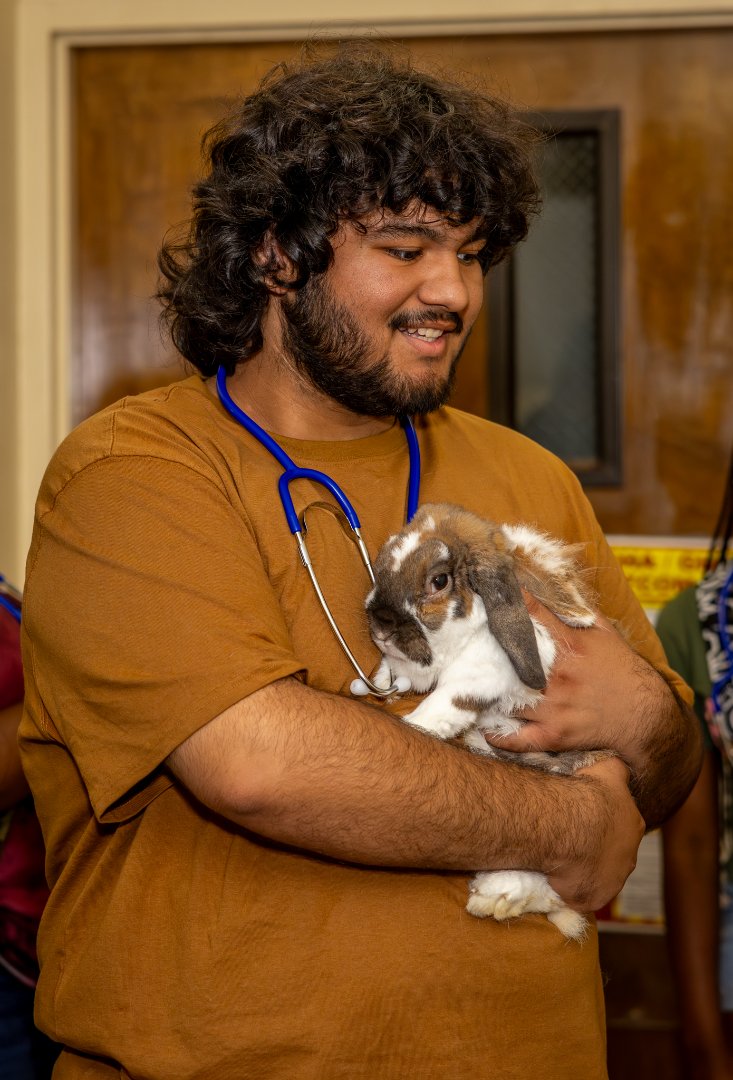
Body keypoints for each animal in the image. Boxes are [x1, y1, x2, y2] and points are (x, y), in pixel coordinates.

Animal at [364, 503, 608, 937]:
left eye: (439, 580)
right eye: (381, 564)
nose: (381, 623)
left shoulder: (489, 668)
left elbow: (449, 701)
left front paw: (417, 726)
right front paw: (386, 686)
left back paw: (498, 896)